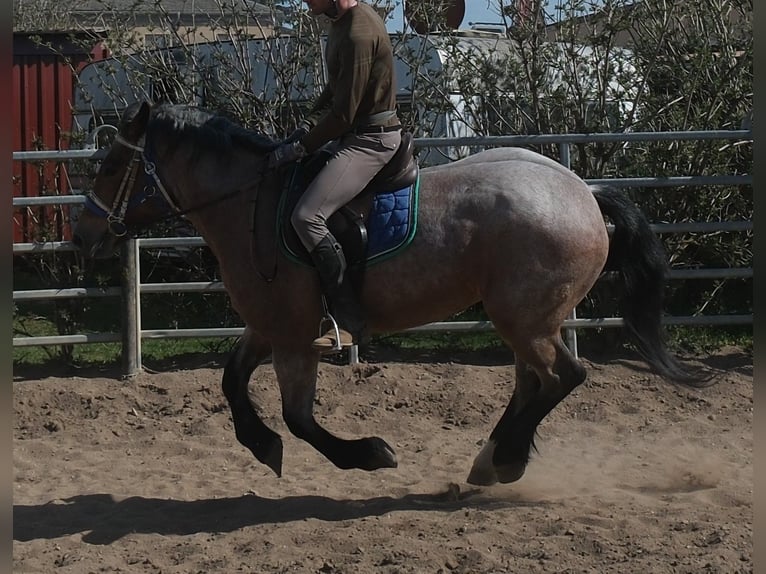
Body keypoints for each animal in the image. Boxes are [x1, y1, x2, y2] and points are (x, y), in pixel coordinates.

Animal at [73, 101, 704, 486]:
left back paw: (503, 459)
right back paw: (492, 458)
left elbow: (298, 417)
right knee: (534, 383)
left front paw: (368, 454)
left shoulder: (294, 338)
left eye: (110, 165)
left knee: (562, 378)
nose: (83, 236)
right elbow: (232, 382)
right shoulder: (268, 326)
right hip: (530, 319)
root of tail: (584, 193)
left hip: (524, 319)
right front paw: (260, 444)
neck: (250, 205)